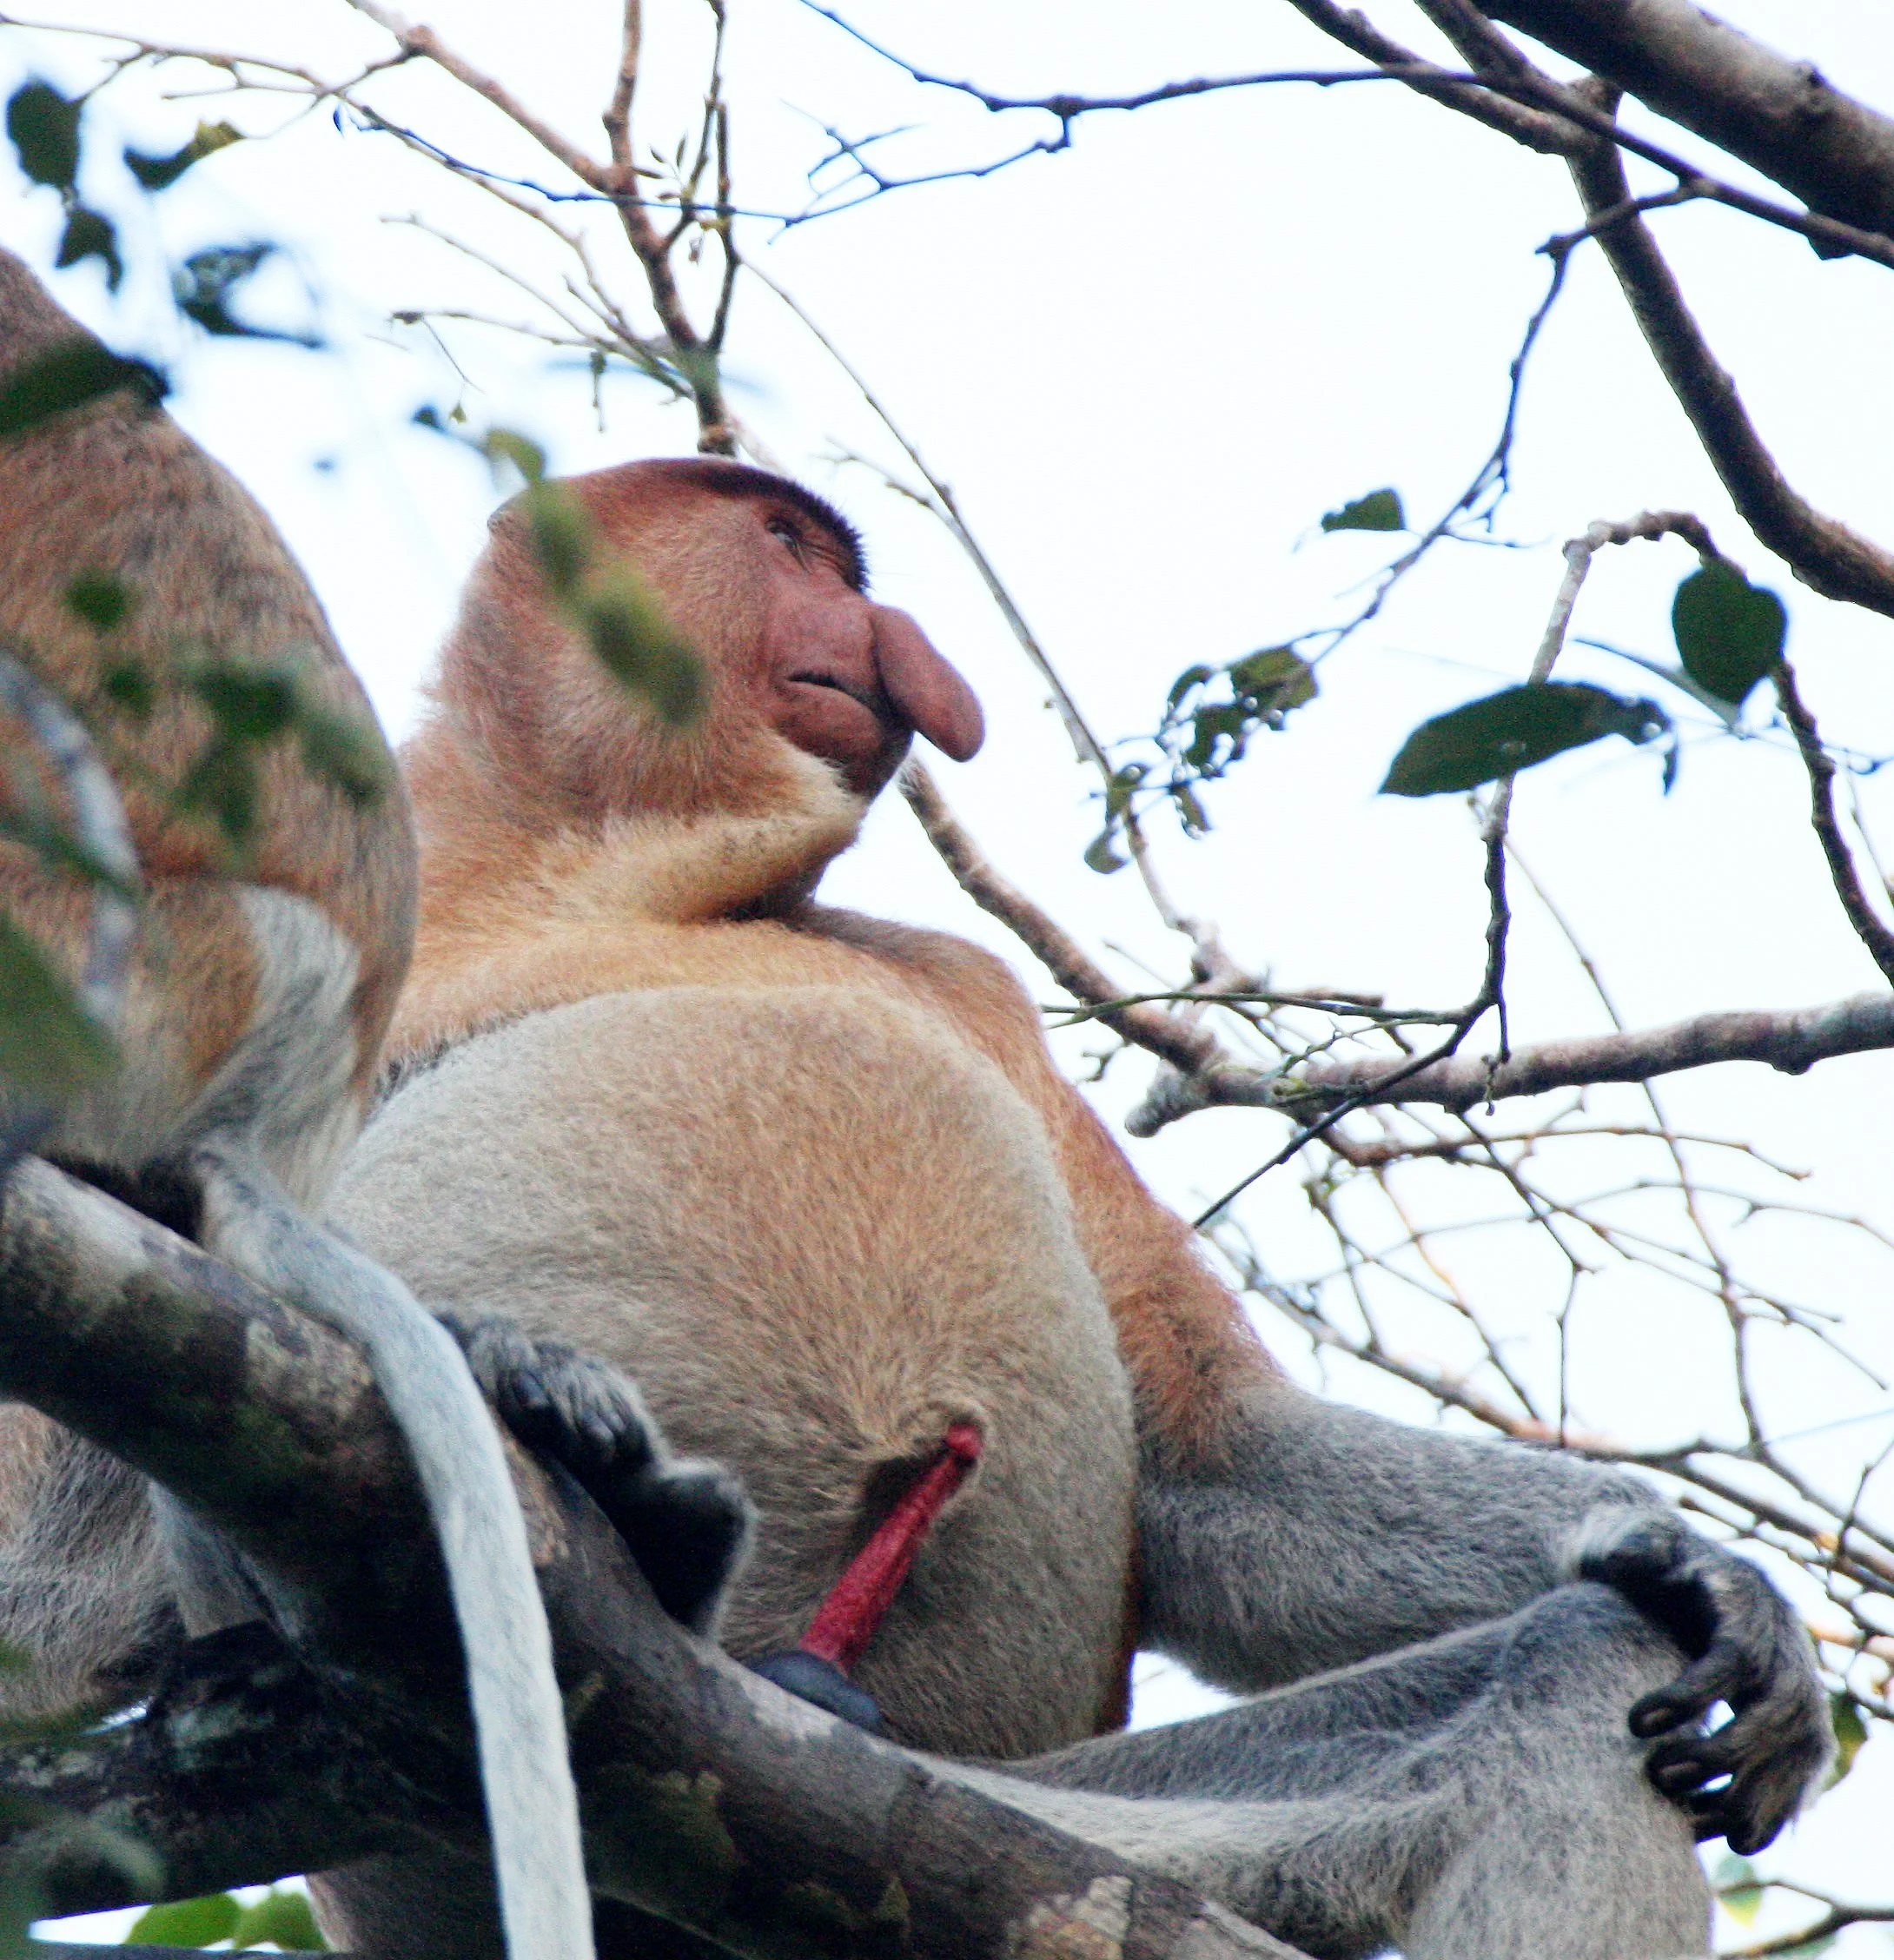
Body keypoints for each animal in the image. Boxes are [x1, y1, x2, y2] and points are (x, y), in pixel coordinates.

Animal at [307, 453, 1830, 1959]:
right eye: (789, 542)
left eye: (829, 561)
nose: (901, 646)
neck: (605, 865)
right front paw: (512, 1362)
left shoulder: (966, 985)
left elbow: (1208, 1455)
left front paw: (1710, 1578)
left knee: (1576, 1676)